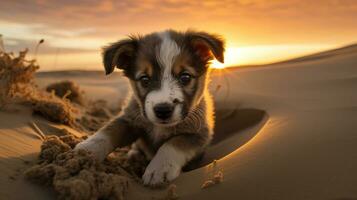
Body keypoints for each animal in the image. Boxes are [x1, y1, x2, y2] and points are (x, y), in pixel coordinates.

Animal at [74, 29, 224, 186]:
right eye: (145, 79)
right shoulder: (130, 119)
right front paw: (88, 149)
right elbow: (110, 130)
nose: (163, 110)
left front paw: (159, 168)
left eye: (185, 77)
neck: (161, 127)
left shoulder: (198, 134)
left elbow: (174, 143)